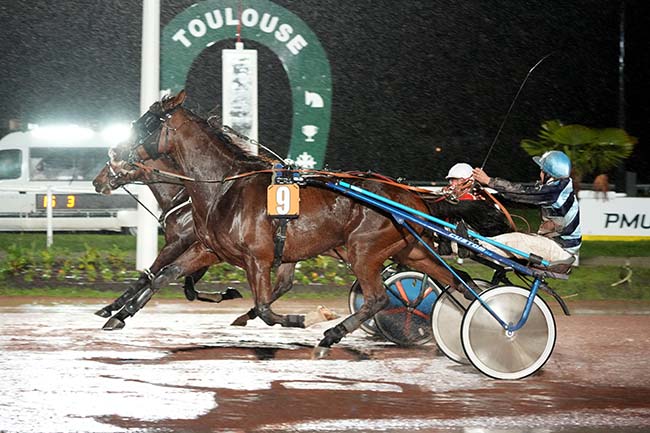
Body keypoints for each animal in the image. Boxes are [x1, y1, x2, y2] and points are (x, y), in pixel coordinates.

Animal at [117, 90, 496, 354]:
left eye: (146, 124)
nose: (117, 154)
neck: (224, 186)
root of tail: (414, 197)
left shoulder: (258, 258)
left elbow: (266, 308)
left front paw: (310, 318)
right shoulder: (211, 249)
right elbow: (163, 274)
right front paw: (119, 314)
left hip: (363, 250)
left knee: (378, 298)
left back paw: (333, 334)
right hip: (411, 251)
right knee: (457, 282)